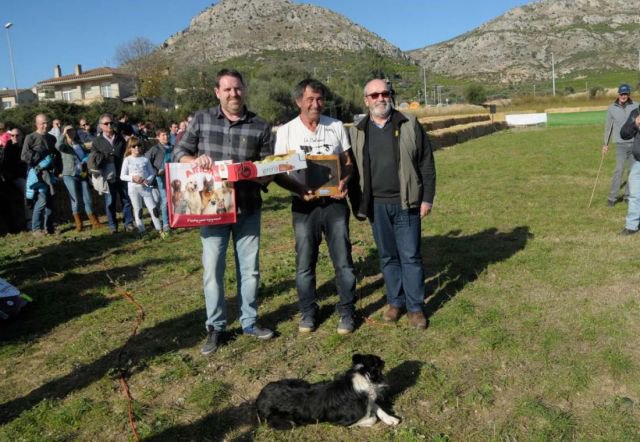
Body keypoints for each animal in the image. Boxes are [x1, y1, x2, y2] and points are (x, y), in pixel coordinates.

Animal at [255, 352, 400, 428]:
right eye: (378, 361)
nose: (384, 360)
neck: (361, 376)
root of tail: (259, 397)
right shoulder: (343, 421)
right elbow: (372, 418)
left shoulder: (367, 400)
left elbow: (377, 407)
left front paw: (391, 419)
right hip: (289, 422)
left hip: (298, 381)